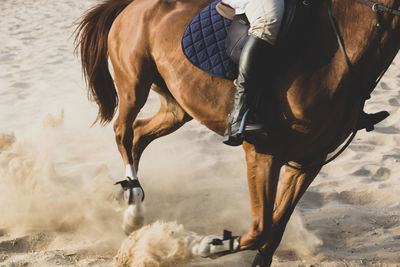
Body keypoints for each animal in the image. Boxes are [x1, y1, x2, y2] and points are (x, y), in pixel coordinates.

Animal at [76, 0, 400, 266]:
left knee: (140, 135)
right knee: (123, 132)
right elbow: (260, 229)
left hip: (176, 107)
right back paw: (134, 207)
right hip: (134, 84)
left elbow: (274, 230)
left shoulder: (310, 161)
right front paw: (204, 245)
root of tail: (131, 5)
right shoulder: (263, 153)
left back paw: (134, 212)